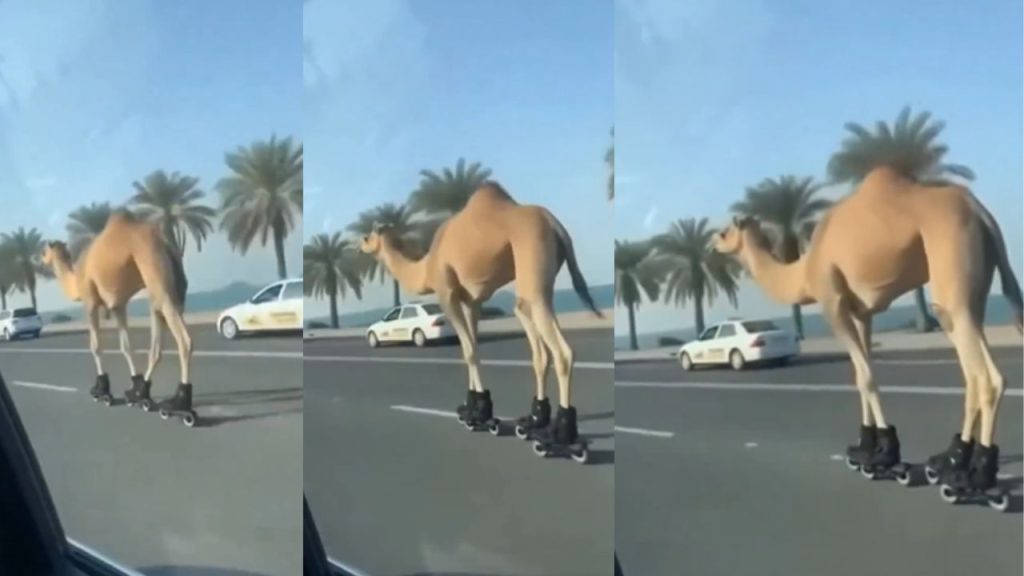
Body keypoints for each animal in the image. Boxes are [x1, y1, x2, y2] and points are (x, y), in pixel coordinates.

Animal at [41, 209, 194, 420]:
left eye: (44, 250)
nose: (40, 260)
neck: (76, 278)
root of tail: (164, 239)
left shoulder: (90, 301)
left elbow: (95, 347)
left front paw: (101, 390)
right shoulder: (117, 306)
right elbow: (126, 347)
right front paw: (134, 387)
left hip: (156, 274)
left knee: (184, 340)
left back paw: (180, 406)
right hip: (172, 285)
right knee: (157, 340)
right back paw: (142, 395)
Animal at [359, 181, 602, 454]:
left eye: (367, 236)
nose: (359, 244)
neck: (426, 267)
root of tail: (556, 225)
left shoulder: (447, 293)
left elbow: (467, 351)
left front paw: (478, 415)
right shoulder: (471, 301)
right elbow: (474, 349)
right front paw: (475, 407)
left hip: (532, 262)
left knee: (562, 351)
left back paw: (559, 437)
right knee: (534, 333)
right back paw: (536, 422)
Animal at [713, 166, 1022, 495]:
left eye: (725, 231)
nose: (712, 242)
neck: (804, 270)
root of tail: (980, 211)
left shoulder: (833, 303)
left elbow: (866, 377)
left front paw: (886, 455)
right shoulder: (862, 313)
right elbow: (862, 377)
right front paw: (865, 448)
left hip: (952, 266)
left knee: (986, 377)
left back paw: (975, 478)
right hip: (975, 282)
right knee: (977, 373)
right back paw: (951, 462)